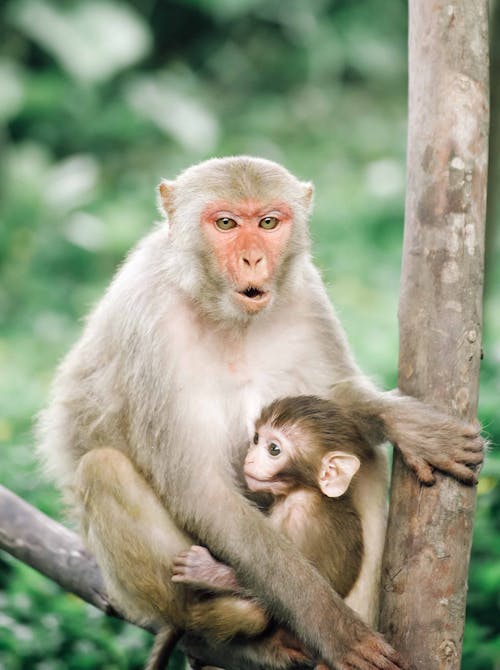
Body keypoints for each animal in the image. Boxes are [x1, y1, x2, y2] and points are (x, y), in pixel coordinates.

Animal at [146, 400, 370, 670]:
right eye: (256, 439)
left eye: (274, 449)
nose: (250, 459)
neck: (310, 490)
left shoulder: (299, 511)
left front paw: (206, 572)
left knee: (252, 610)